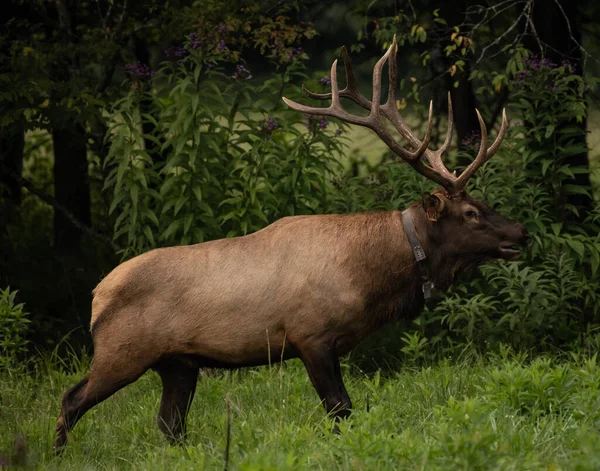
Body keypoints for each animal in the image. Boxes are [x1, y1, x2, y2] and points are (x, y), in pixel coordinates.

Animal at [54, 36, 528, 450]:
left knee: (170, 425)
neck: (370, 281)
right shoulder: (310, 336)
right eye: (471, 213)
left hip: (178, 363)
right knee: (71, 399)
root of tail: (97, 296)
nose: (521, 232)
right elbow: (340, 407)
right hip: (121, 351)